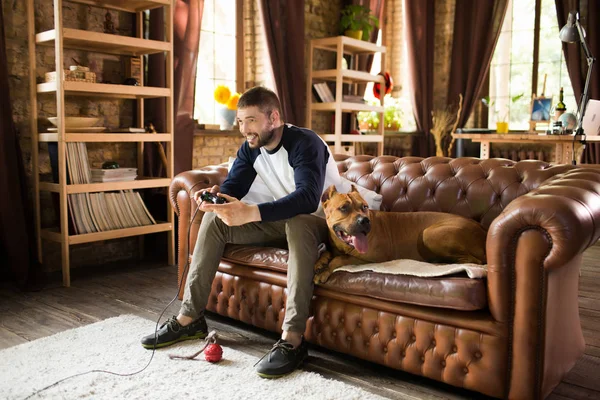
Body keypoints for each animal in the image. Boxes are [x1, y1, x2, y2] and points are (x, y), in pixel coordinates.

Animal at [314, 185, 488, 284]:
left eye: (364, 207)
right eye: (344, 208)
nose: (364, 221)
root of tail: (482, 229)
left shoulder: (372, 258)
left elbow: (340, 259)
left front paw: (325, 270)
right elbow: (328, 253)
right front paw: (320, 262)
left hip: (429, 233)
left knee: (473, 261)